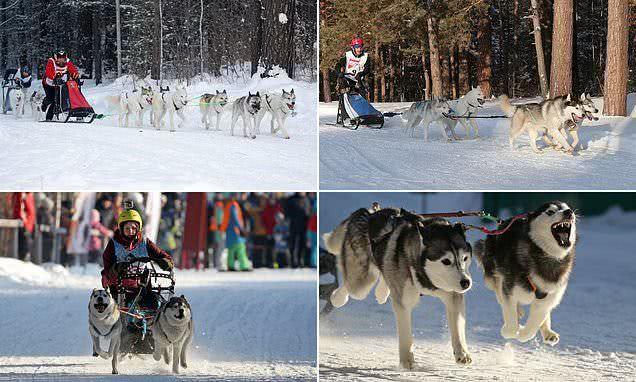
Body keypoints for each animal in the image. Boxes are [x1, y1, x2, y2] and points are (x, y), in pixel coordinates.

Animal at [326, 207, 474, 368]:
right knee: (351, 285)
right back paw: (337, 298)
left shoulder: (453, 295)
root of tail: (368, 212)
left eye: (464, 258)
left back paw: (381, 292)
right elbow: (406, 334)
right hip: (361, 283)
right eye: (446, 261)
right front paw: (407, 360)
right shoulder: (404, 302)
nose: (466, 282)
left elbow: (457, 327)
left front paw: (462, 353)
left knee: (384, 272)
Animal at [474, 203, 580, 346]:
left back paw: (548, 332)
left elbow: (535, 323)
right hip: (492, 277)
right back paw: (518, 312)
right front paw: (509, 331)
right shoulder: (509, 290)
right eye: (550, 212)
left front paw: (524, 335)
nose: (569, 212)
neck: (548, 257)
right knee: (499, 291)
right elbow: (510, 317)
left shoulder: (547, 298)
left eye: (567, 207)